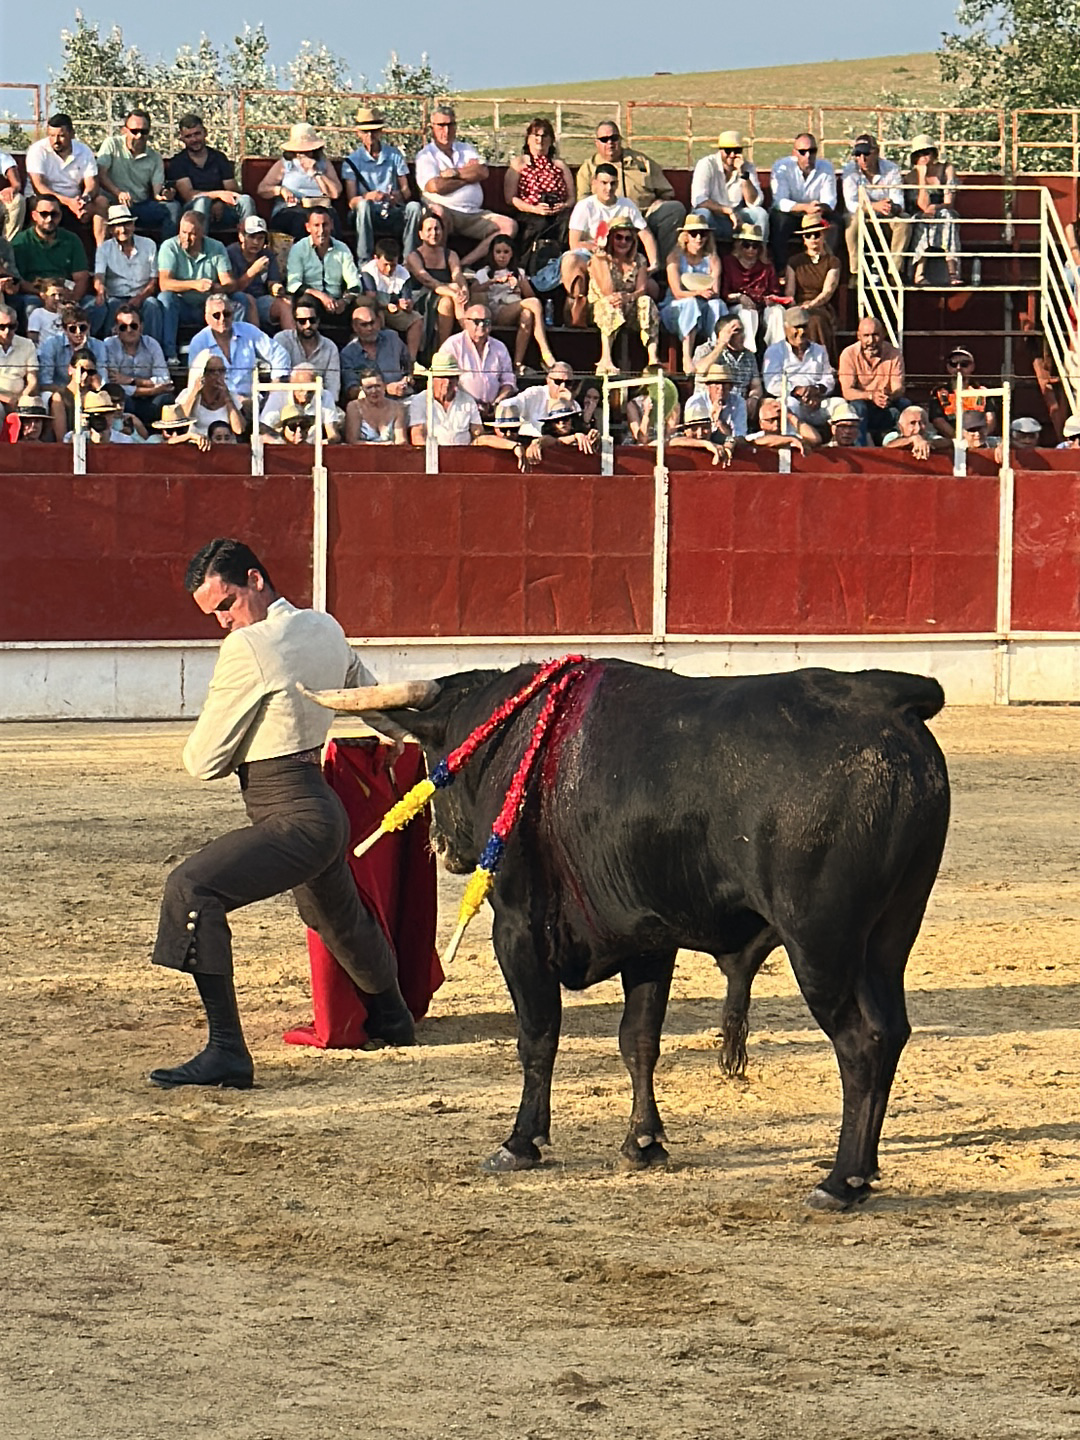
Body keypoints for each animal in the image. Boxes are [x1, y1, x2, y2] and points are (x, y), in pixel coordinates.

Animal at [306, 661, 950, 1210]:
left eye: (435, 757)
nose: (440, 846)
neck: (514, 741)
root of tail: (884, 699)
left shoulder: (515, 929)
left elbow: (538, 1036)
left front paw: (520, 1143)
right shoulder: (648, 938)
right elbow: (638, 1040)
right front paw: (644, 1143)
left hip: (820, 943)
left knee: (860, 1043)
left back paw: (841, 1181)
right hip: (889, 936)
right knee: (891, 1031)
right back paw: (865, 1170)